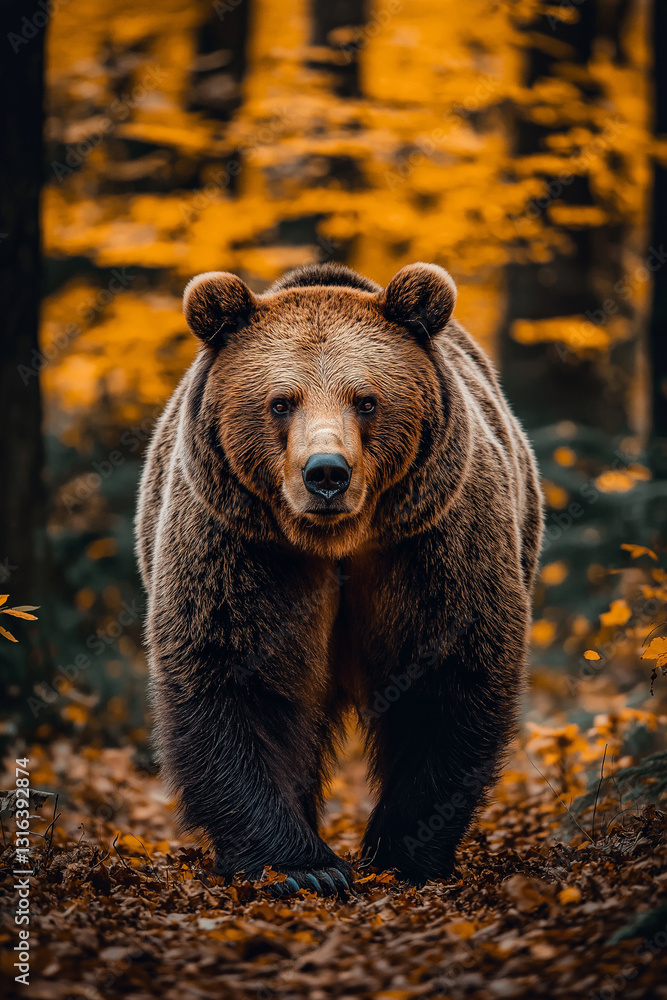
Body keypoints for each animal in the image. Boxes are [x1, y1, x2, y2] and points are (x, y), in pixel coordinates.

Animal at [136, 261, 543, 896]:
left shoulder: (432, 547)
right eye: (281, 402)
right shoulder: (244, 551)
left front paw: (401, 852)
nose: (326, 473)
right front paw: (302, 867)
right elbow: (234, 675)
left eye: (366, 399)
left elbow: (447, 677)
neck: (337, 543)